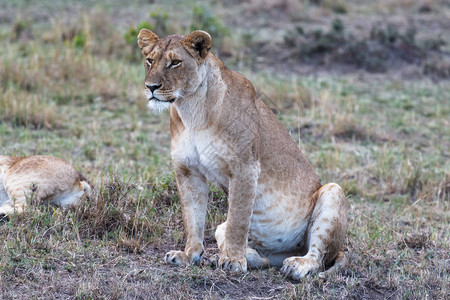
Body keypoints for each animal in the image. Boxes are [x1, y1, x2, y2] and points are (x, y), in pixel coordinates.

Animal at [137, 28, 348, 278]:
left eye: (175, 63)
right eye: (149, 61)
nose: (151, 87)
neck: (191, 109)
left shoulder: (245, 167)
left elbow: (237, 219)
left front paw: (233, 260)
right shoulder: (187, 170)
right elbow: (192, 217)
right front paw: (190, 255)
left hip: (333, 191)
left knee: (318, 257)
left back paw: (296, 265)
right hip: (224, 229)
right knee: (263, 258)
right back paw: (235, 257)